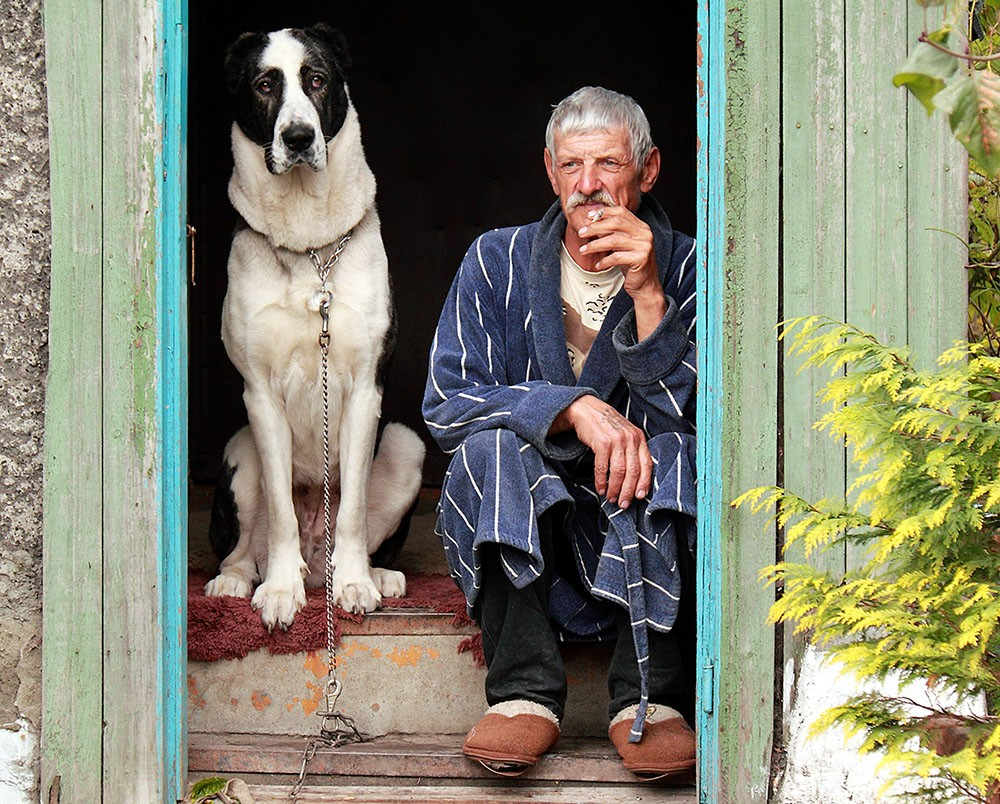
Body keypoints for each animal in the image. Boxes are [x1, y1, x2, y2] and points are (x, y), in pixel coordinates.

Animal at [205, 23, 424, 628]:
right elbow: (281, 509)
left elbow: (350, 511)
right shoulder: (259, 394)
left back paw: (375, 573)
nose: (300, 137)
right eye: (264, 85)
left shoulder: (366, 391)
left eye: (318, 80)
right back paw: (238, 581)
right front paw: (281, 591)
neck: (307, 243)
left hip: (406, 445)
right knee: (242, 548)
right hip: (241, 454)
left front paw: (354, 583)